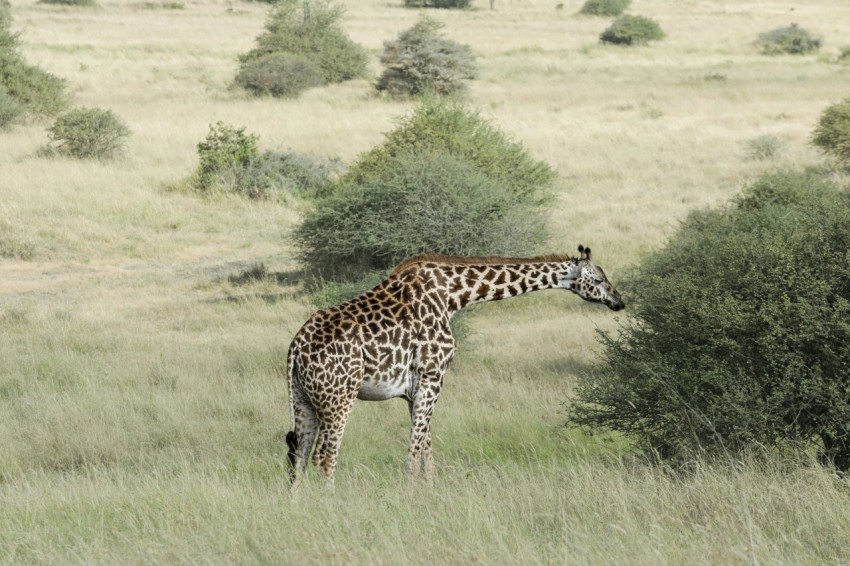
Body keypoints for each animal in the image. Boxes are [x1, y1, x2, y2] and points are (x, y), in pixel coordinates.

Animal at [284, 245, 624, 488]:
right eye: (598, 279)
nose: (619, 300)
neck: (454, 295)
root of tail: (296, 349)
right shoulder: (433, 376)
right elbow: (415, 448)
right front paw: (411, 495)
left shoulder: (414, 388)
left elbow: (426, 446)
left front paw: (429, 492)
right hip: (339, 398)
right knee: (324, 457)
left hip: (302, 399)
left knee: (299, 456)